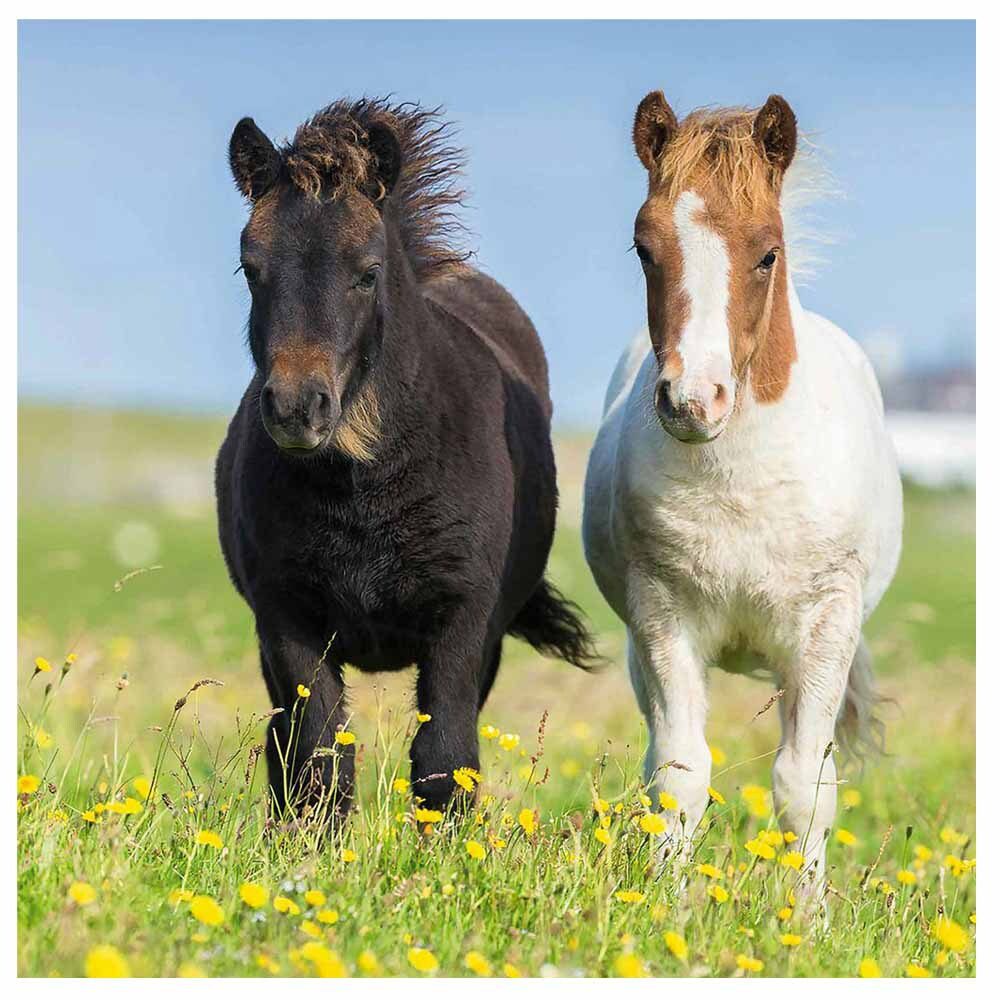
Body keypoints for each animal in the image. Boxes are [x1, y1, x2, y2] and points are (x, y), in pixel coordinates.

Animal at [216, 98, 595, 821]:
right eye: (251, 268)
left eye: (367, 273)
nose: (297, 408)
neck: (365, 486)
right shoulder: (287, 621)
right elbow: (318, 762)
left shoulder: (463, 624)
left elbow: (445, 763)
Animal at [582, 91, 903, 888]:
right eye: (644, 248)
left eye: (767, 252)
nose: (692, 402)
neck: (741, 481)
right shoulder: (661, 618)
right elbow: (679, 775)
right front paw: (665, 902)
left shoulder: (824, 627)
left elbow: (803, 786)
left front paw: (807, 914)